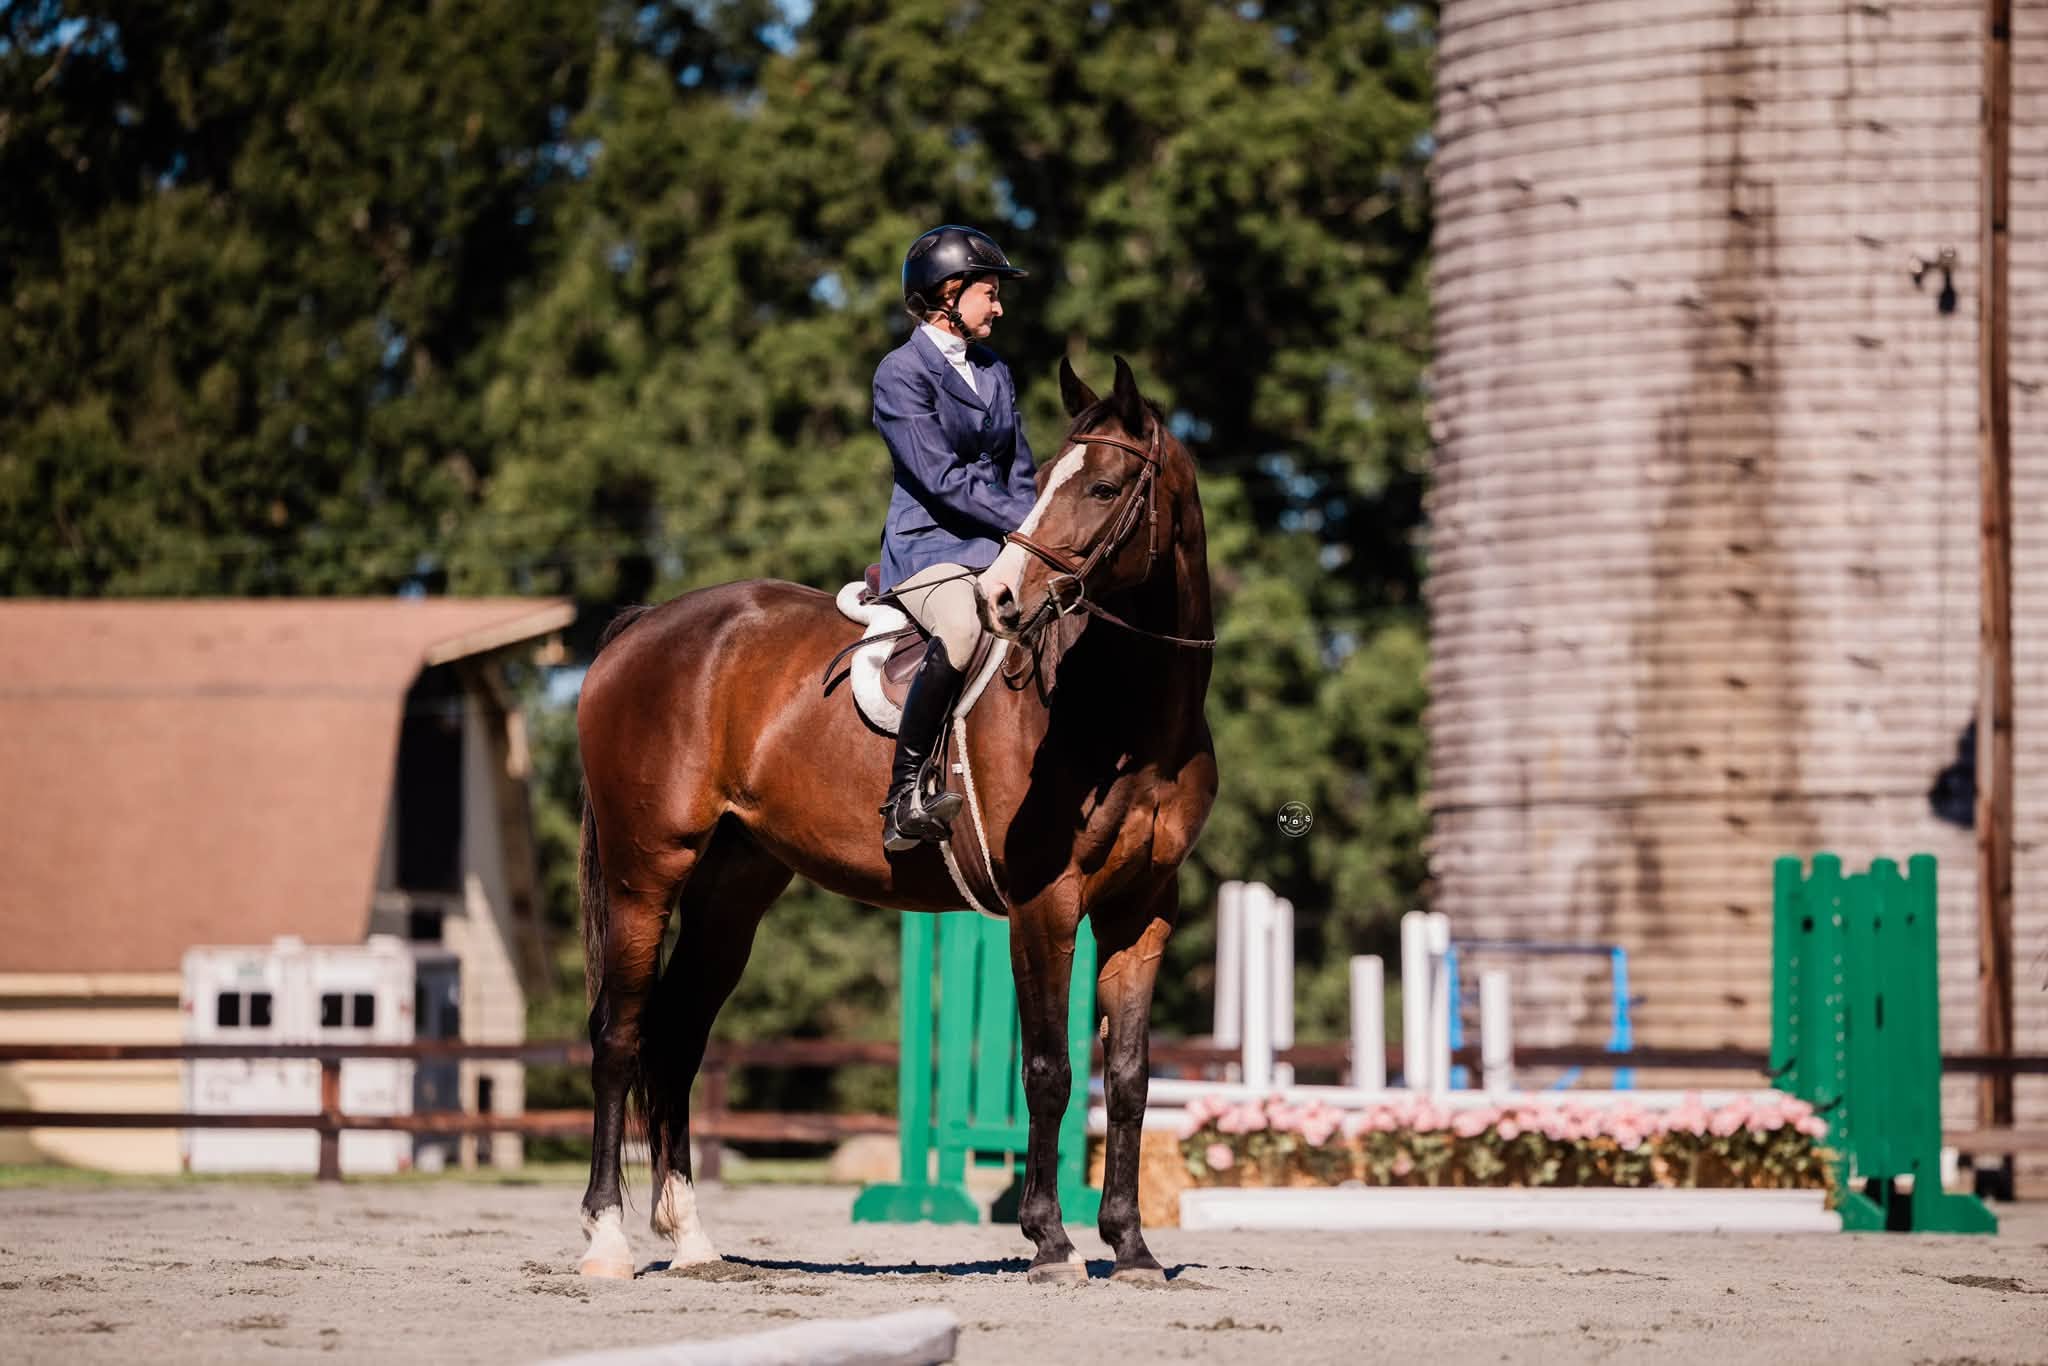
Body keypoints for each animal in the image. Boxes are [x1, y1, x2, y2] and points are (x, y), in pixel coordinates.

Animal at [572, 355, 1217, 1284]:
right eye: (1050, 485)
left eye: (1102, 486)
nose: (1006, 601)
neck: (1129, 717)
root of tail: (643, 626)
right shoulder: (1045, 902)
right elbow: (1050, 1071)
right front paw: (1051, 1243)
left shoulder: (1144, 909)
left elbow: (1127, 1078)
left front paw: (1130, 1247)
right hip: (644, 873)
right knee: (619, 1036)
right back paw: (607, 1241)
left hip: (732, 893)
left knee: (677, 1039)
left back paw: (693, 1242)